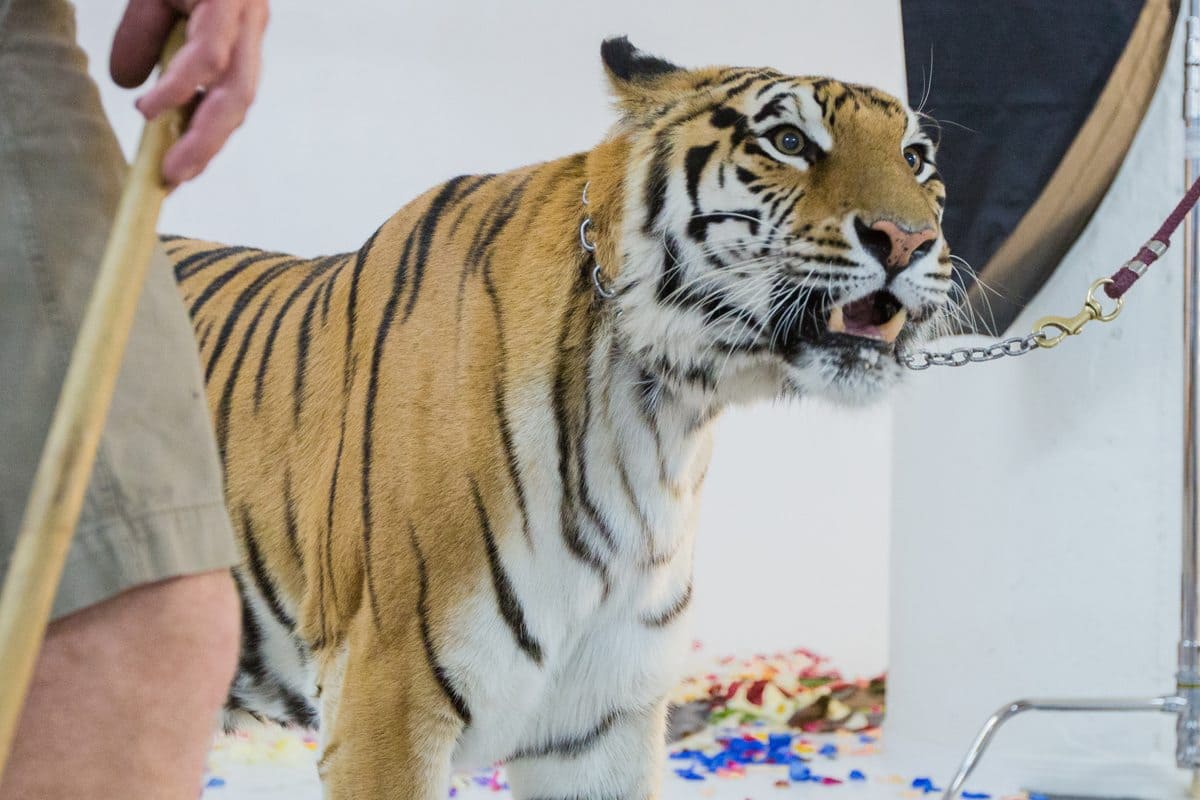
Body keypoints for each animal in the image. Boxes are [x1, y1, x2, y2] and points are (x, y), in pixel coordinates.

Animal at [167, 37, 950, 800]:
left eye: (914, 159)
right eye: (789, 141)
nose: (908, 241)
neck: (657, 415)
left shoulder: (598, 724)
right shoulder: (384, 699)